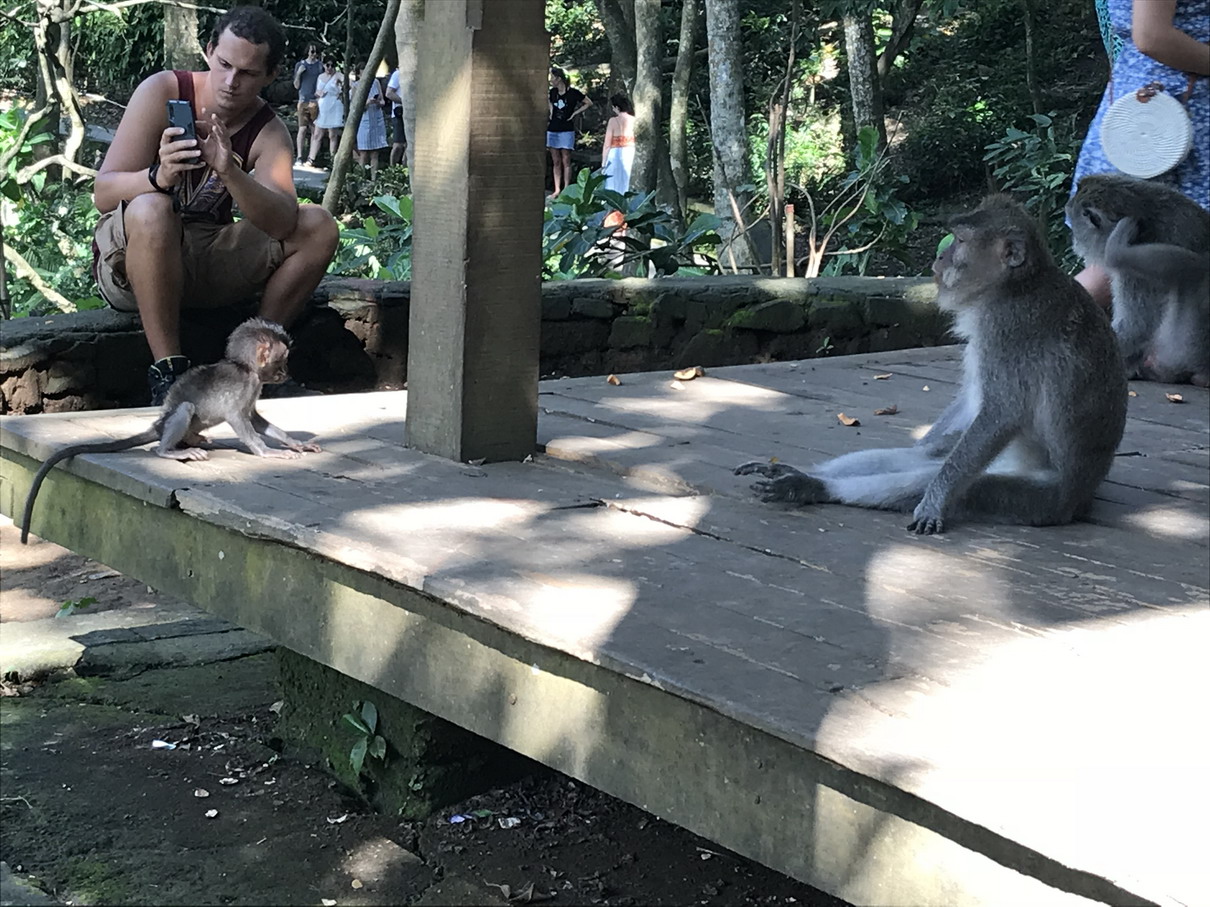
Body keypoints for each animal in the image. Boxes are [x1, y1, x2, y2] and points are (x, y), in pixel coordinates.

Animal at [21, 319, 321, 546]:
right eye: (282, 360)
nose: (286, 373)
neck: (247, 370)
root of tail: (158, 425)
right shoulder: (243, 386)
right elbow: (240, 421)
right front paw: (268, 452)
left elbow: (257, 422)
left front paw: (295, 444)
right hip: (173, 422)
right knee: (183, 411)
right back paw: (169, 450)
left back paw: (193, 439)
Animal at [735, 195, 1132, 536]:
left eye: (960, 240)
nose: (940, 259)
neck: (1010, 287)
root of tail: (1077, 499)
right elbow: (959, 416)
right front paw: (928, 443)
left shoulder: (1009, 331)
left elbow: (1002, 412)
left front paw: (935, 501)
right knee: (913, 459)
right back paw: (802, 474)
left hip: (1035, 499)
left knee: (946, 483)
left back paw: (816, 487)